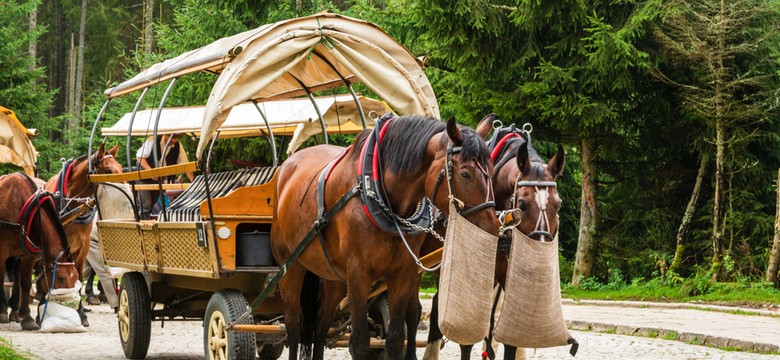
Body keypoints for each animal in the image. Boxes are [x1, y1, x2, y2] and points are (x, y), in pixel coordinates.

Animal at [0, 173, 78, 330]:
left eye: (76, 277)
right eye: (60, 277)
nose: (68, 305)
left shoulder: (29, 256)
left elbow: (25, 282)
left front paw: (27, 318)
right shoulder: (1, 251)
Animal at [272, 116, 496, 360]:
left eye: (491, 170)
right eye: (465, 174)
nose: (492, 228)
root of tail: (286, 168)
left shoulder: (403, 272)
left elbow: (396, 340)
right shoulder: (357, 273)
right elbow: (360, 343)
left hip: (332, 275)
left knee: (321, 323)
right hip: (291, 267)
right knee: (294, 325)